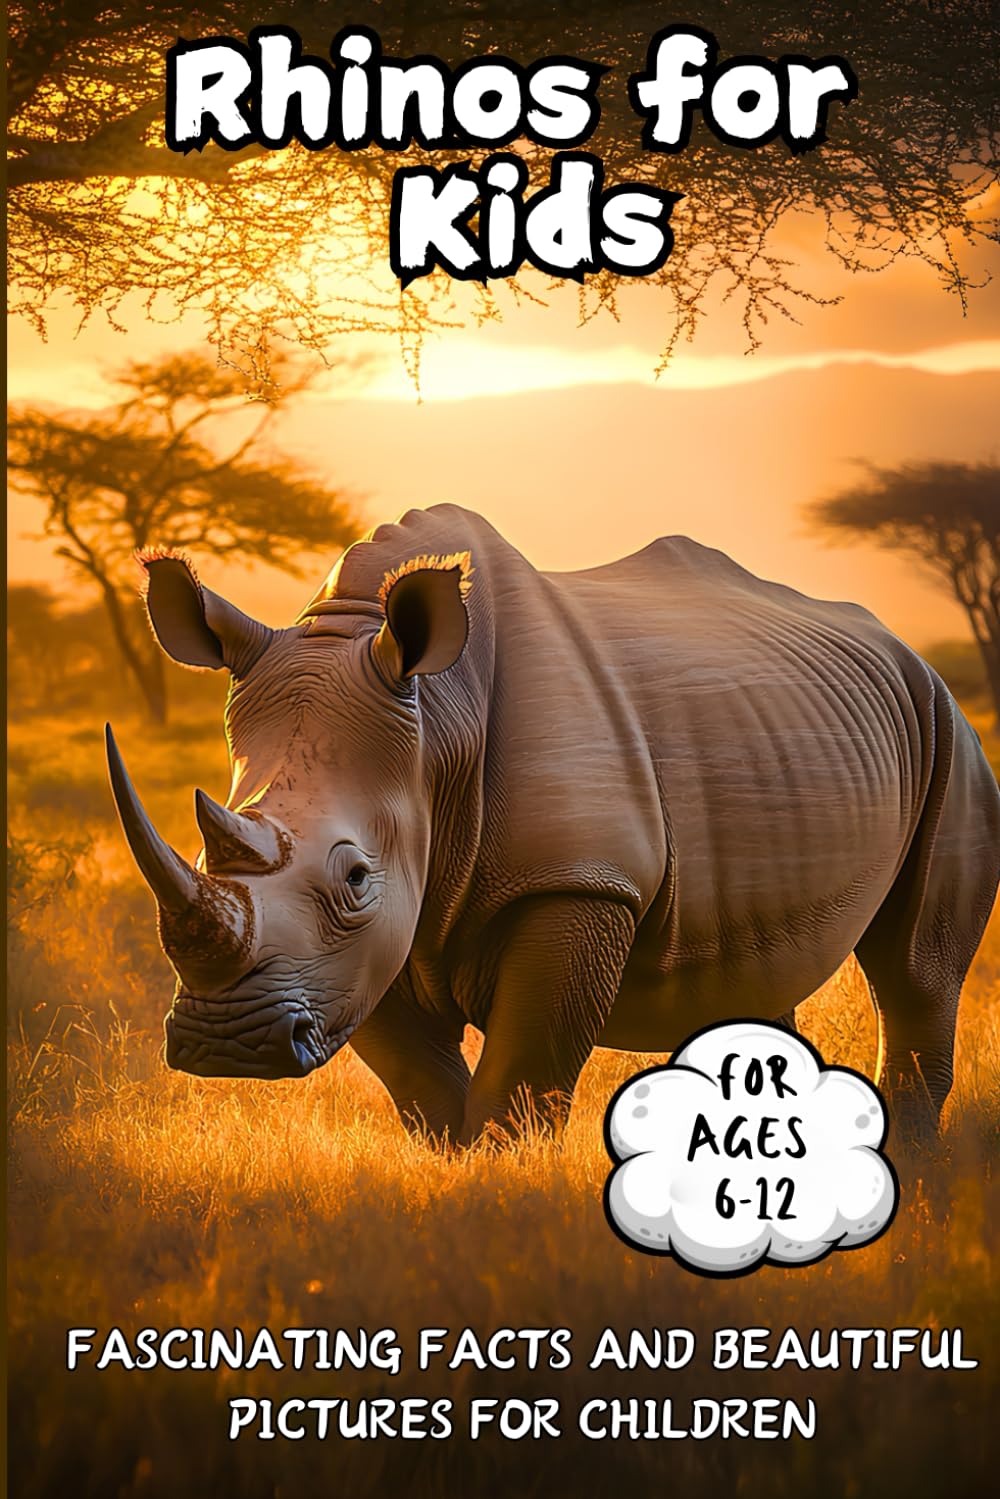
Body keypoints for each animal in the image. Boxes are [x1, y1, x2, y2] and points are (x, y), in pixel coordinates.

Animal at [107, 504, 999, 1144]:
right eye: (202, 854)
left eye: (355, 877)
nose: (227, 1043)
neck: (440, 724)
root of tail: (905, 648)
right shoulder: (358, 954)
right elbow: (430, 1096)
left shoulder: (579, 882)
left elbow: (519, 1088)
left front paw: (507, 1200)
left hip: (947, 728)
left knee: (914, 972)